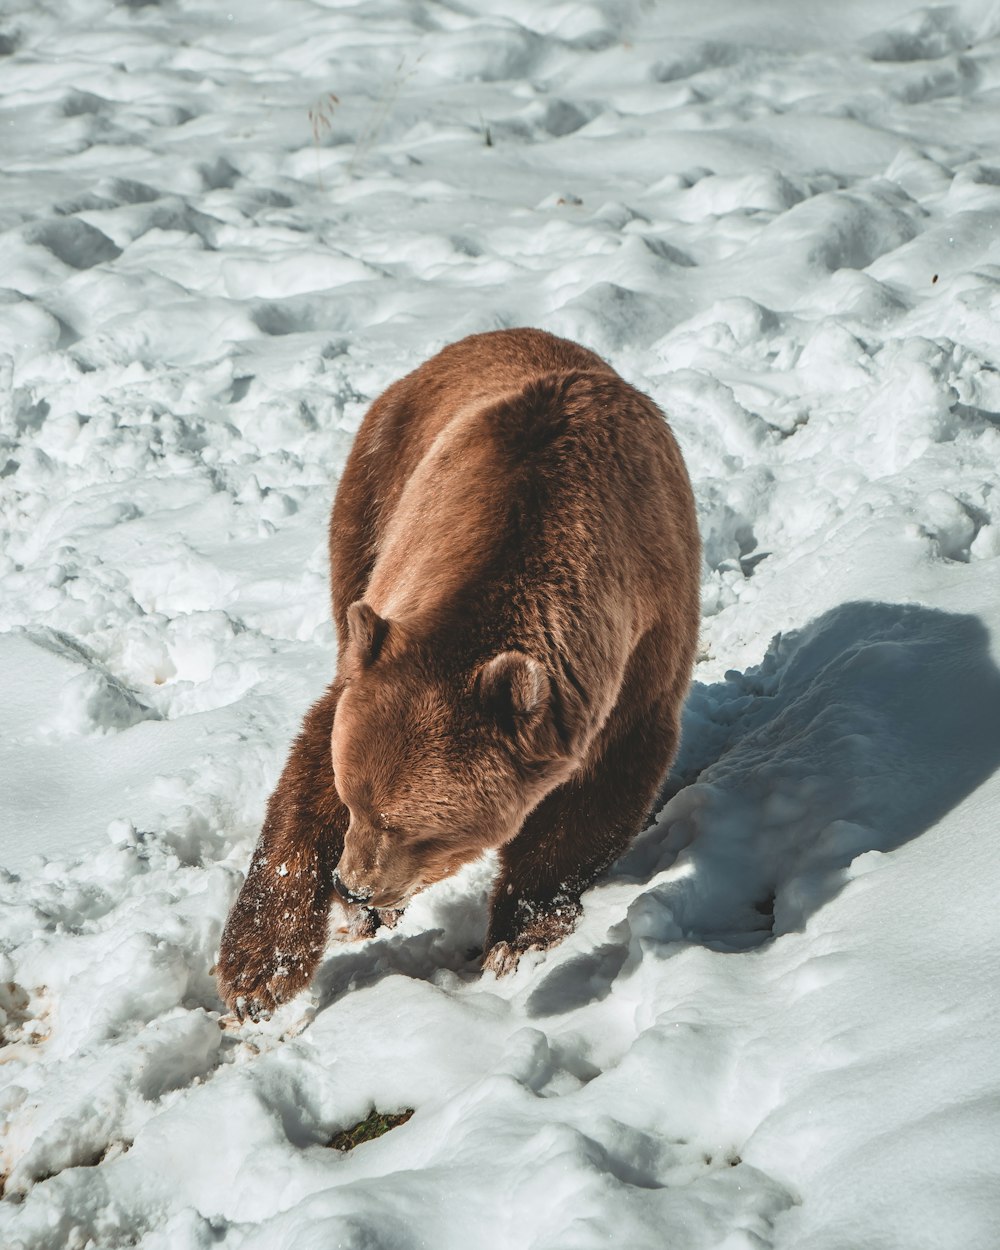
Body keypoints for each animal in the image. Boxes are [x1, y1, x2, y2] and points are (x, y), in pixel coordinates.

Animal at [216, 327, 705, 1020]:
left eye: (413, 828)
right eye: (354, 799)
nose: (353, 885)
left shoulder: (639, 656)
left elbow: (592, 801)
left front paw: (517, 940)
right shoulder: (391, 620)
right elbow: (308, 767)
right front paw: (257, 972)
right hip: (373, 493)